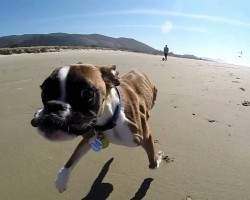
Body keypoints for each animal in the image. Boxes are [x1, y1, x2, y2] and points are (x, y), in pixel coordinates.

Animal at [30, 63, 164, 192]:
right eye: (44, 91)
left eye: (87, 93)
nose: (53, 105)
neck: (110, 119)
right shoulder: (90, 136)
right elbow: (73, 157)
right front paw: (62, 179)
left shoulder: (144, 137)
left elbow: (152, 163)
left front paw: (158, 158)